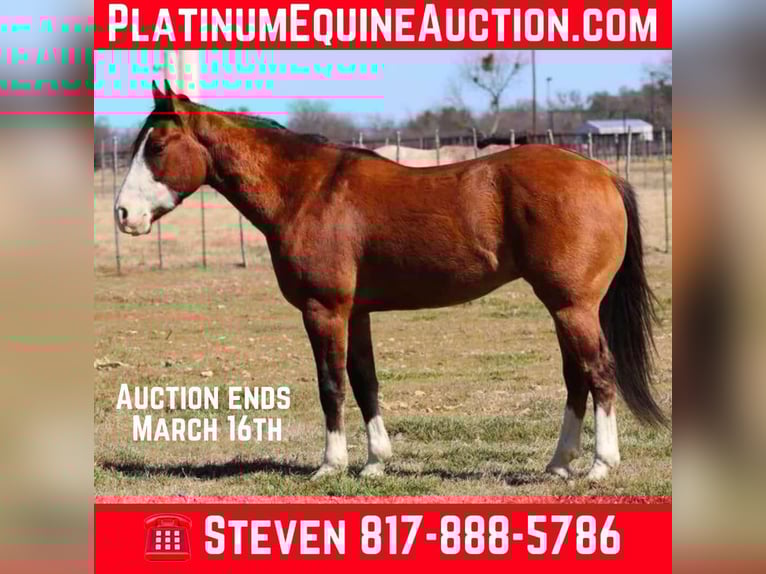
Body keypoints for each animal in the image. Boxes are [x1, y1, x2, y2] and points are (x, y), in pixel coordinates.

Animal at [115, 81, 666, 481]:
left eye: (157, 145)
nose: (124, 214)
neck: (307, 192)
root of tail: (601, 173)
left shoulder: (324, 311)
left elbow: (331, 385)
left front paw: (330, 465)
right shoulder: (356, 313)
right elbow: (366, 383)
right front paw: (375, 463)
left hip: (573, 306)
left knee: (599, 373)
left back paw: (599, 466)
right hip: (564, 308)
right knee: (577, 378)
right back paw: (557, 465)